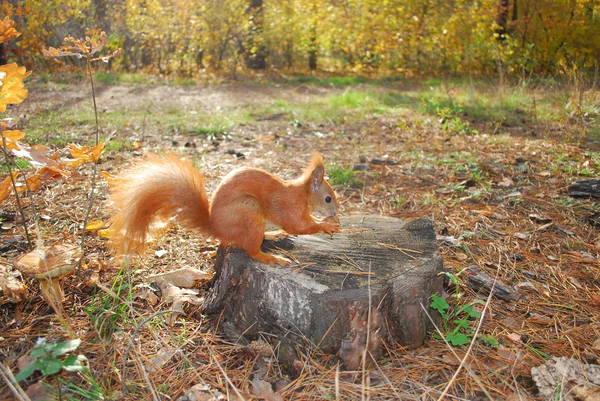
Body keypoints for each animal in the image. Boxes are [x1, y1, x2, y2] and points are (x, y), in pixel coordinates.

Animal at [108, 152, 340, 264]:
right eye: (328, 198)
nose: (336, 212)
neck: (302, 194)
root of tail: (217, 229)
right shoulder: (289, 207)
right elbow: (298, 226)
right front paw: (326, 226)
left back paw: (273, 235)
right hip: (250, 212)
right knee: (252, 251)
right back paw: (272, 258)